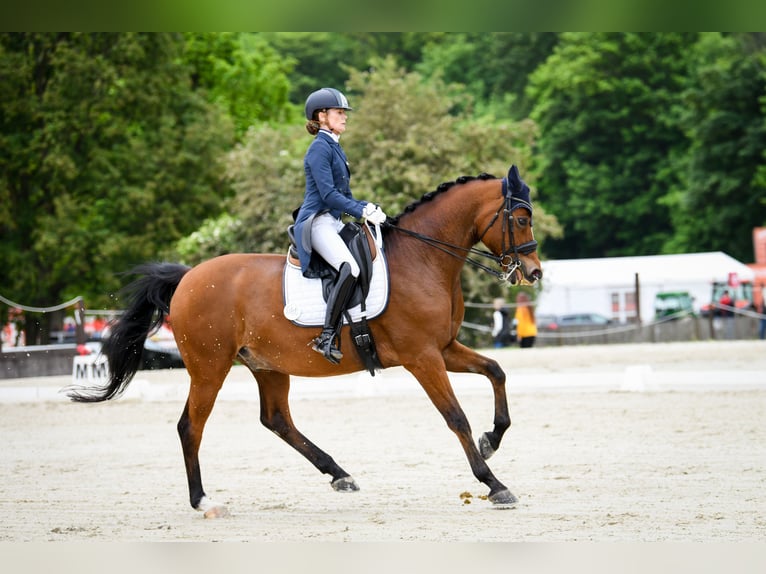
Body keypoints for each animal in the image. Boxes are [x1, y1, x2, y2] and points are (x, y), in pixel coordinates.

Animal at [69, 165, 544, 516]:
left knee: (276, 419)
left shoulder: (443, 349)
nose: (534, 273)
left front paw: (492, 439)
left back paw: (339, 473)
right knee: (192, 426)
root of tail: (188, 278)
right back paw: (203, 500)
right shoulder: (423, 357)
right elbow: (456, 417)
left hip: (266, 365)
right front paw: (494, 484)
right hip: (209, 368)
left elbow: (497, 372)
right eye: (521, 219)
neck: (422, 259)